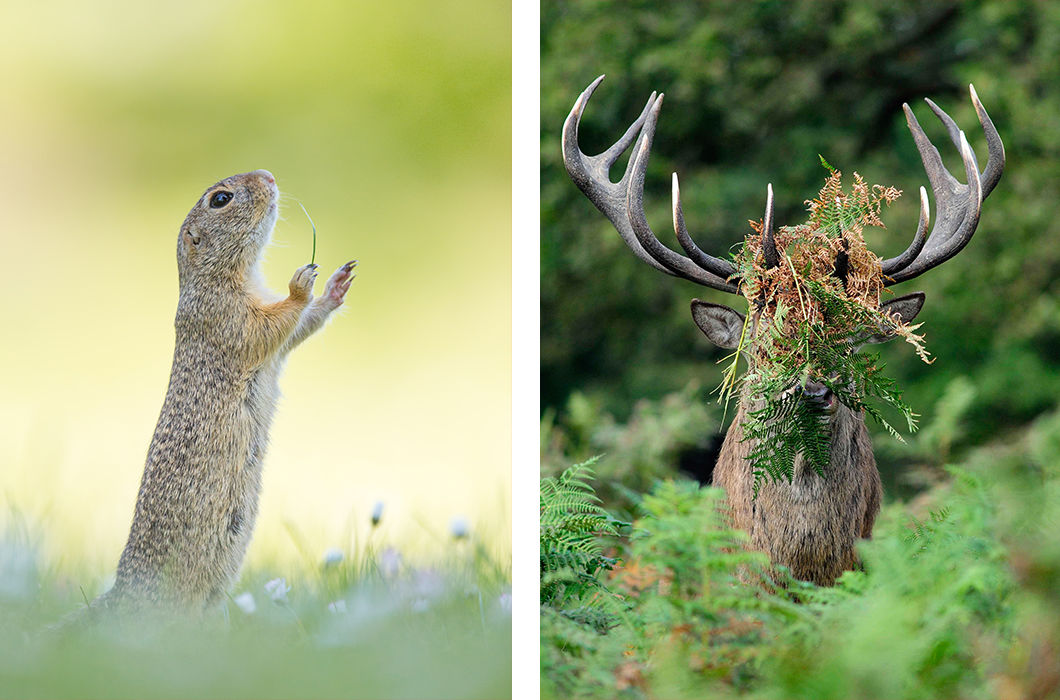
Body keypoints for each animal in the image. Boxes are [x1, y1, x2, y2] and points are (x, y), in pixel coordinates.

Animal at [96, 170, 351, 610]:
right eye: (220, 199)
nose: (269, 175)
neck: (230, 275)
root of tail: (122, 592)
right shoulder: (225, 315)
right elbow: (268, 327)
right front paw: (301, 285)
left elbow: (296, 329)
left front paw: (336, 285)